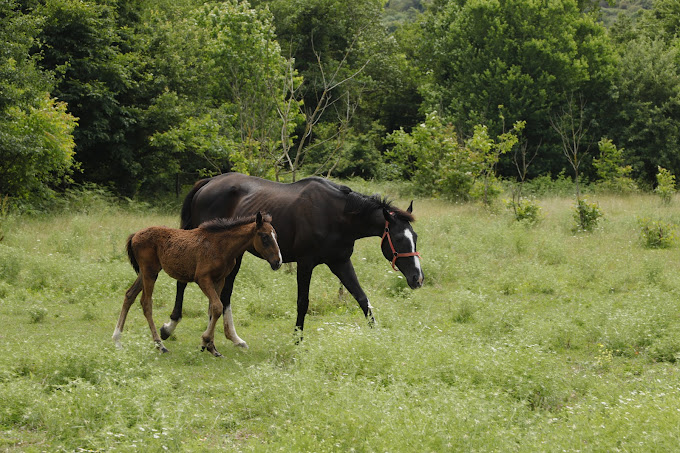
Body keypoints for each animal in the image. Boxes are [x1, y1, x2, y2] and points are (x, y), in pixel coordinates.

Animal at [161, 170, 422, 346]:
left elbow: (362, 298)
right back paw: (169, 328)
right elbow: (302, 302)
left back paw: (231, 337)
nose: (417, 279)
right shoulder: (305, 264)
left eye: (415, 237)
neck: (335, 214)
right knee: (184, 283)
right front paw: (298, 340)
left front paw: (377, 337)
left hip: (233, 257)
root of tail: (208, 183)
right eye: (399, 239)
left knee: (223, 294)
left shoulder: (340, 262)